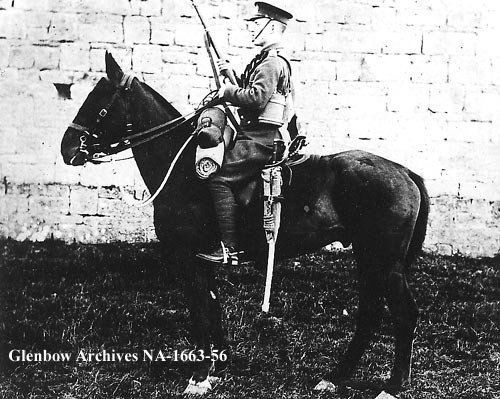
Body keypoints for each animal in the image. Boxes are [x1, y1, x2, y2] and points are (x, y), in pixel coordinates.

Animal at [60, 54, 430, 396]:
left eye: (99, 104)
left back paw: (393, 385)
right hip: (369, 259)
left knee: (404, 314)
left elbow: (200, 311)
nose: (67, 148)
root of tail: (404, 172)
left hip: (385, 262)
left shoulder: (187, 258)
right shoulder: (201, 261)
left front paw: (199, 377)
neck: (181, 170)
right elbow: (212, 307)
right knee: (370, 312)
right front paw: (217, 367)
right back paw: (335, 377)